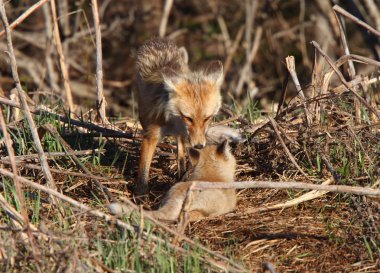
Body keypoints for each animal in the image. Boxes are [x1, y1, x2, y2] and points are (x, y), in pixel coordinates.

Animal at [136, 38, 223, 194]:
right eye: (188, 118)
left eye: (207, 118)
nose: (199, 145)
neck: (173, 121)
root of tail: (159, 40)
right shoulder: (151, 135)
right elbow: (143, 172)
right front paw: (140, 196)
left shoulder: (184, 134)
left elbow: (181, 158)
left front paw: (181, 177)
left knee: (181, 154)